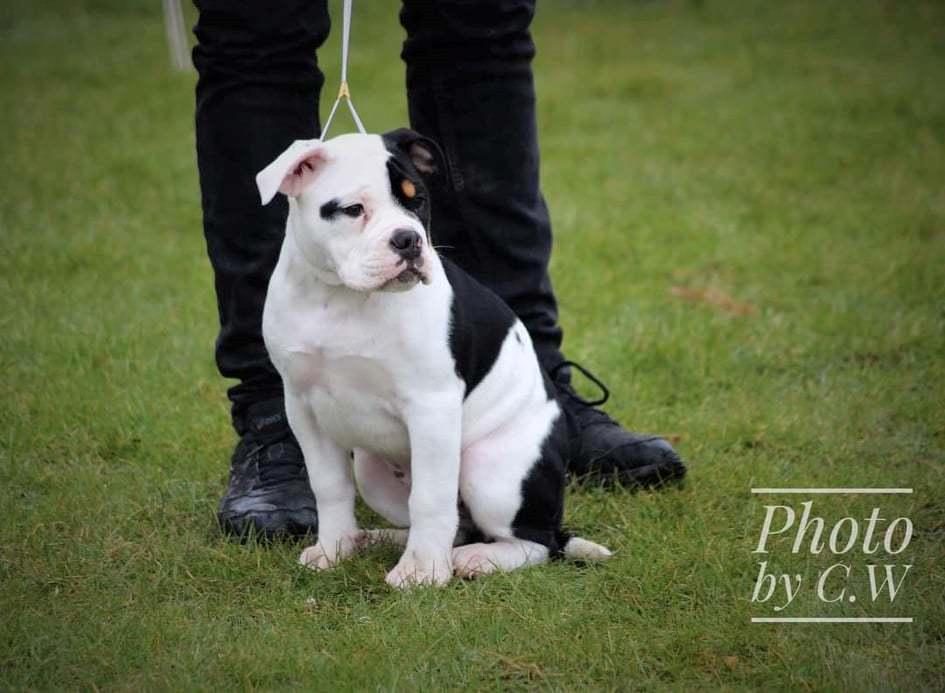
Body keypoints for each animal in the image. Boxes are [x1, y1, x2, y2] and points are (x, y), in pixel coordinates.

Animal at [254, 127, 608, 588]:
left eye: (417, 200)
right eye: (353, 210)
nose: (409, 240)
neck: (343, 297)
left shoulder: (431, 408)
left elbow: (429, 497)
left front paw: (422, 572)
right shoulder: (303, 407)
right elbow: (329, 485)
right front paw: (334, 550)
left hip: (490, 471)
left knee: (535, 541)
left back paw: (480, 558)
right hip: (372, 471)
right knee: (458, 525)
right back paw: (375, 539)